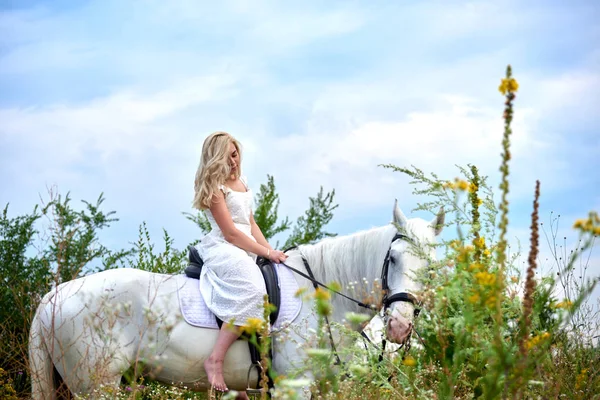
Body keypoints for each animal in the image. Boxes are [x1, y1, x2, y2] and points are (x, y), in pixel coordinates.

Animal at [30, 203, 442, 396]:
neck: (320, 296)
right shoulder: (295, 385)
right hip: (96, 386)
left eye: (432, 266)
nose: (400, 326)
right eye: (393, 259)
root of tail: (53, 296)